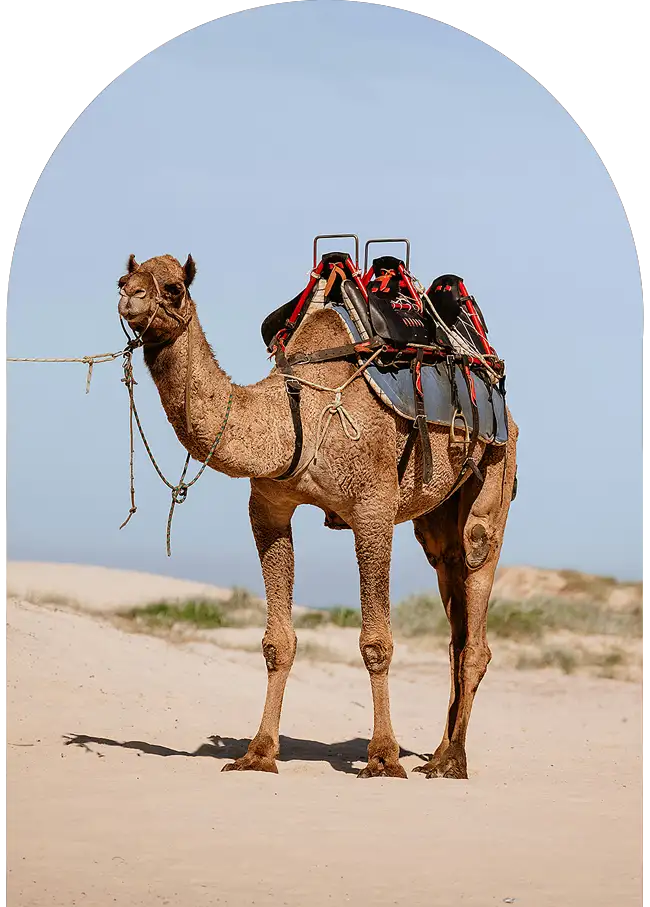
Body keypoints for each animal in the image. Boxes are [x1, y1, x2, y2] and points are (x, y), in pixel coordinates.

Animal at [117, 252, 518, 779]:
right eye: (122, 278)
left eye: (174, 288)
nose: (130, 297)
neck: (296, 411)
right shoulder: (268, 508)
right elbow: (276, 642)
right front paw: (258, 752)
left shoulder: (373, 507)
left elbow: (376, 643)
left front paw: (383, 756)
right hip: (436, 519)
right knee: (451, 595)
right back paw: (437, 753)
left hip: (496, 469)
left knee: (476, 567)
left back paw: (452, 761)